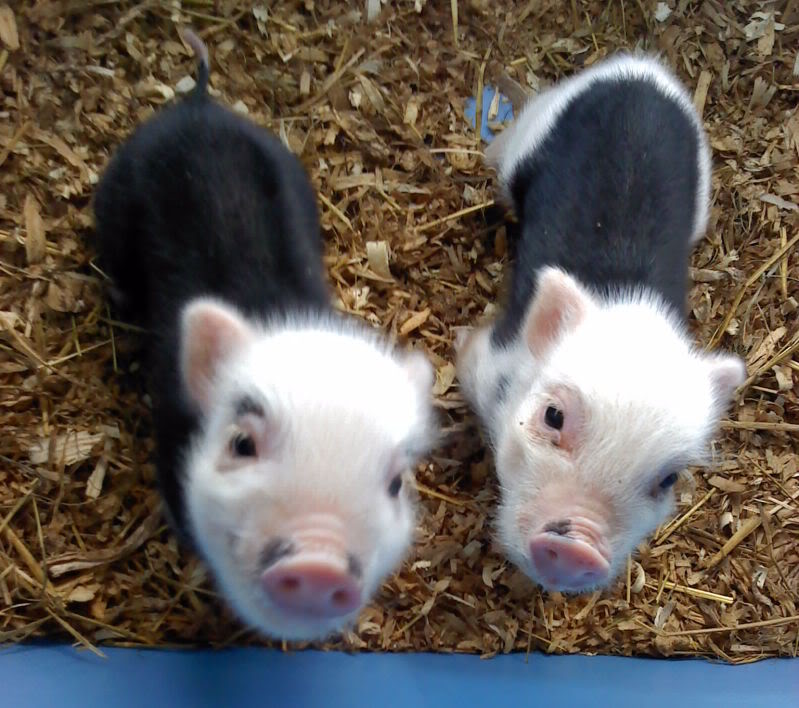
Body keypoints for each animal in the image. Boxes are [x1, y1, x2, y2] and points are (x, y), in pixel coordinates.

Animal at [456, 54, 746, 594]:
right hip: (535, 129)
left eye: (668, 479)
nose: (578, 547)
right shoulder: (486, 361)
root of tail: (639, 66)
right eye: (553, 416)